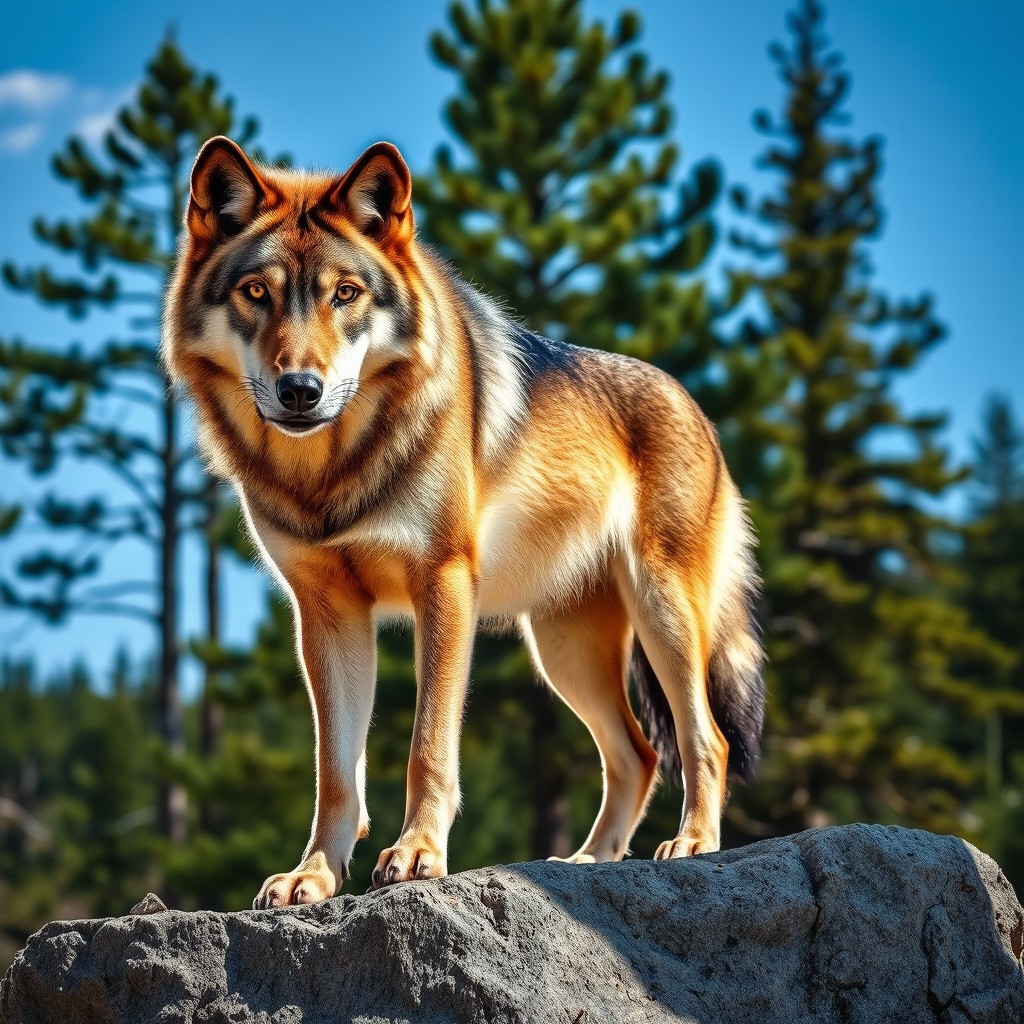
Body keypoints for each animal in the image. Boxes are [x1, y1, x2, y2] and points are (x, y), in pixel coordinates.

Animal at [163, 137, 765, 908]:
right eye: (257, 293)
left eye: (345, 294)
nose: (301, 390)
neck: (331, 472)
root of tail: (695, 407)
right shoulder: (325, 611)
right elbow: (336, 772)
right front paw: (314, 875)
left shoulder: (443, 585)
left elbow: (428, 747)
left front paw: (418, 854)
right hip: (564, 651)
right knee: (636, 752)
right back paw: (585, 863)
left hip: (662, 615)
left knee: (704, 739)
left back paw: (690, 844)